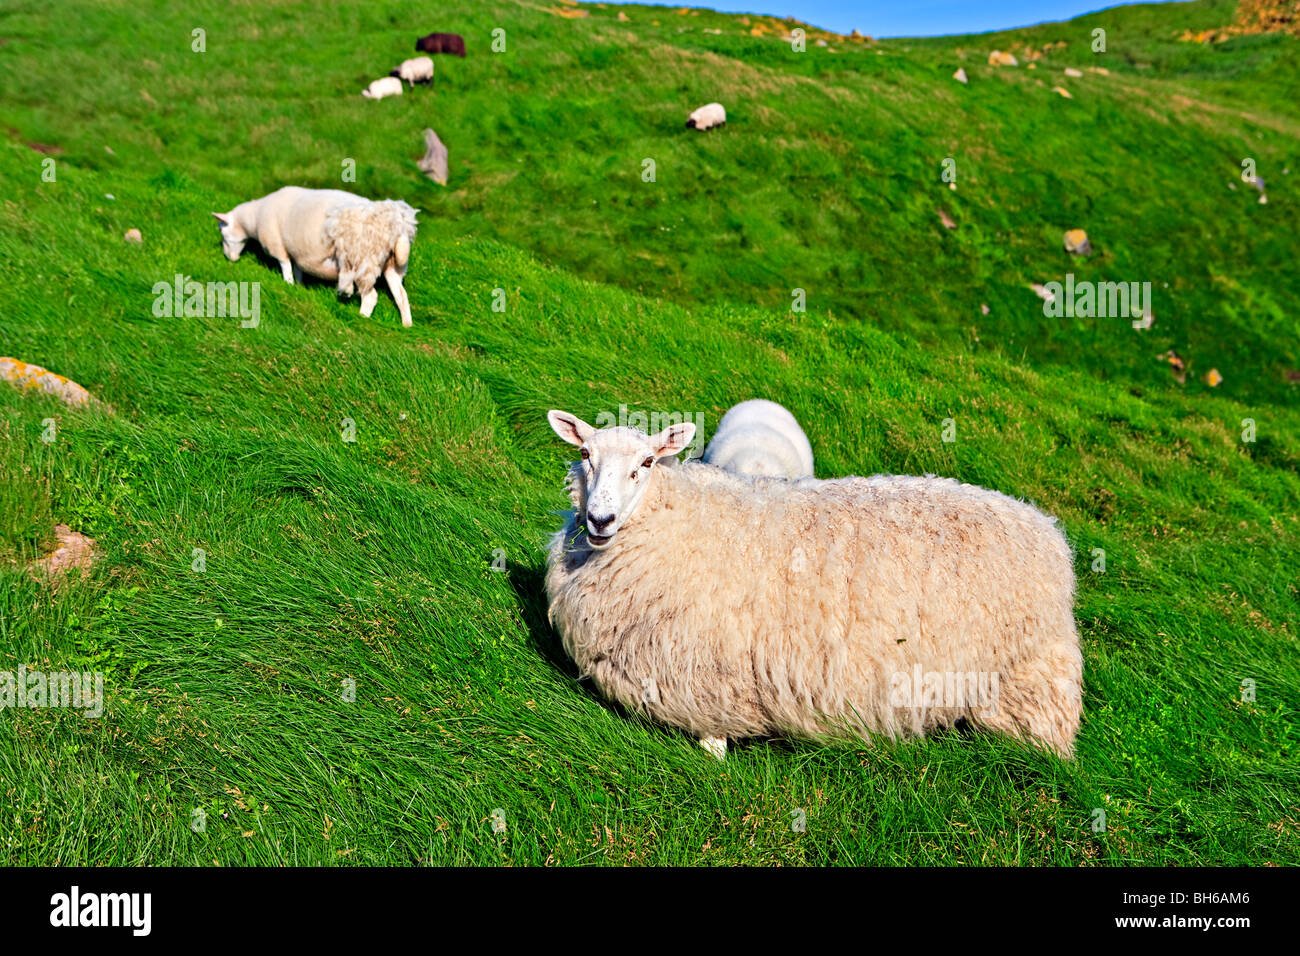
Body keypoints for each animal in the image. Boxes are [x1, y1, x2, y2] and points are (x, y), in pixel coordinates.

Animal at [211, 187, 416, 329]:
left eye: (222, 232)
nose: (230, 258)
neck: (254, 218)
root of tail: (398, 226)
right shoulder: (298, 252)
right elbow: (297, 271)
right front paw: (299, 288)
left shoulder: (277, 245)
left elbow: (285, 266)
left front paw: (288, 284)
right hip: (393, 265)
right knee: (401, 295)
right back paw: (407, 325)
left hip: (363, 259)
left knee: (370, 296)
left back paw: (361, 318)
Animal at [543, 411, 1081, 764]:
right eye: (585, 454)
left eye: (649, 463)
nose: (600, 520)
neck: (672, 519)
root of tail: (1047, 530)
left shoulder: (705, 671)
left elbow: (711, 734)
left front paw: (715, 754)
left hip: (1029, 680)